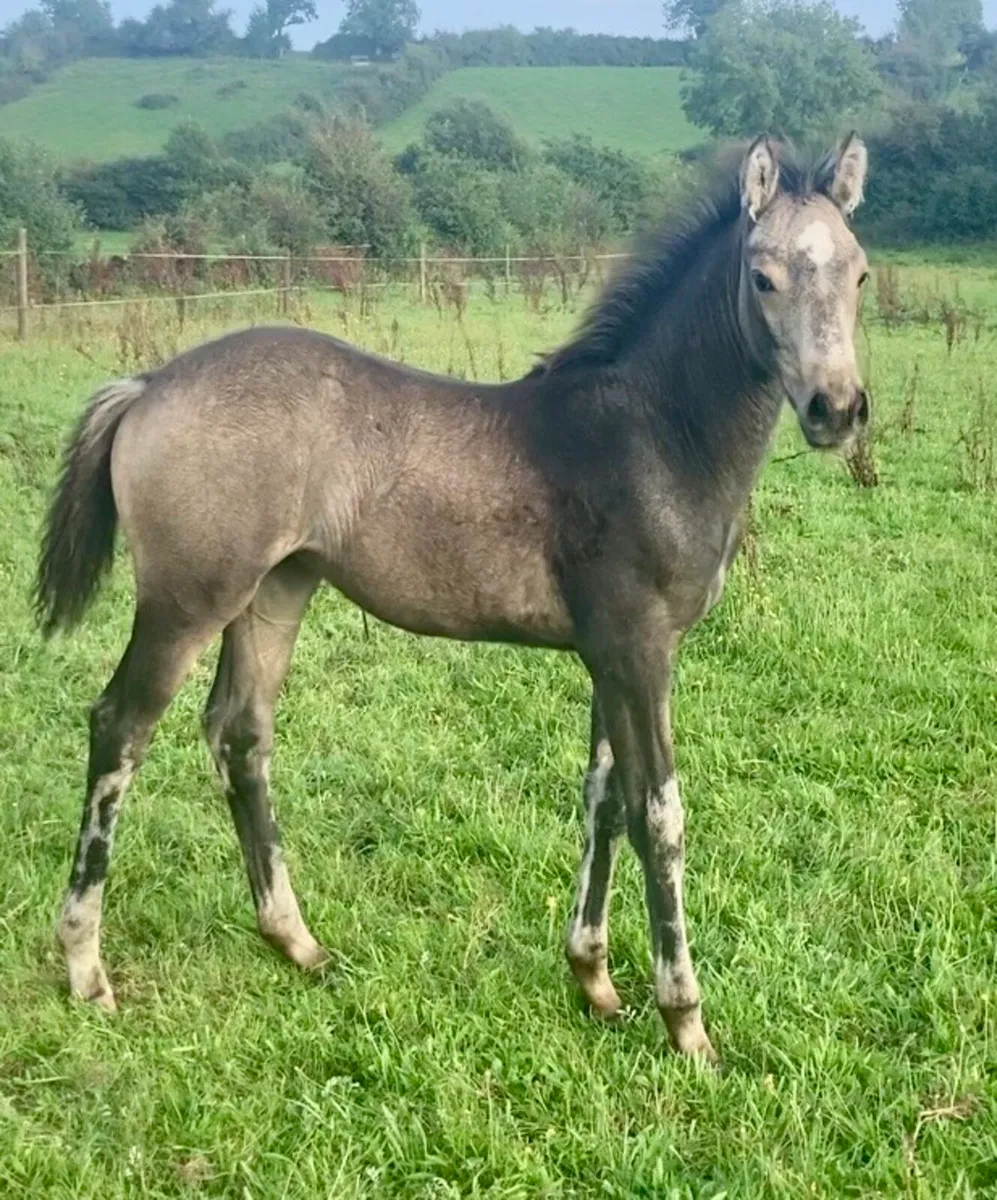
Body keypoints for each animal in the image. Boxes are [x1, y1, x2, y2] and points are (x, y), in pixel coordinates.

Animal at [36, 135, 871, 1062]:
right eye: (762, 277)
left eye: (860, 274)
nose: (837, 409)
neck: (650, 435)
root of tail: (149, 384)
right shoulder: (641, 650)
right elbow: (659, 814)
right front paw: (686, 1024)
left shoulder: (610, 655)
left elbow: (603, 799)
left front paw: (593, 980)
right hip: (187, 599)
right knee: (119, 729)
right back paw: (86, 967)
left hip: (275, 590)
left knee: (239, 733)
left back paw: (296, 942)